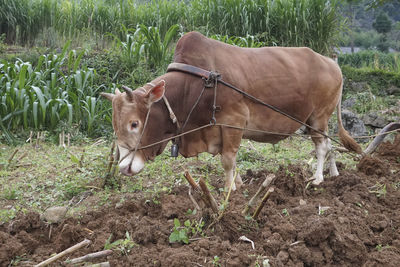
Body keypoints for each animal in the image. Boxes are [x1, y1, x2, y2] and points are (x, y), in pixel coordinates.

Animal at [101, 31, 360, 191]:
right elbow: (232, 161)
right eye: (115, 126)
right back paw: (334, 173)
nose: (123, 168)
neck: (195, 85)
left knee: (321, 146)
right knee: (329, 144)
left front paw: (229, 191)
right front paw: (238, 184)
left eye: (134, 124)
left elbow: (228, 160)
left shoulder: (233, 123)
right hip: (316, 120)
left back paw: (318, 178)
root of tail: (332, 63)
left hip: (318, 117)